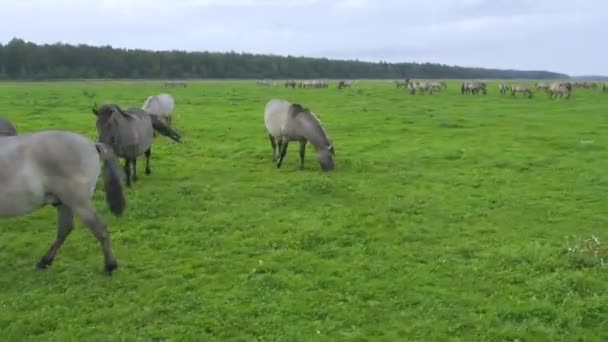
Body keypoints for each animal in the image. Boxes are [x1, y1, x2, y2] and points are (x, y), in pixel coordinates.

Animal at [0, 130, 126, 274]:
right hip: (63, 202)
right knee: (65, 229)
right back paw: (45, 262)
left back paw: (110, 266)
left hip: (78, 203)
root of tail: (92, 144)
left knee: (100, 229)